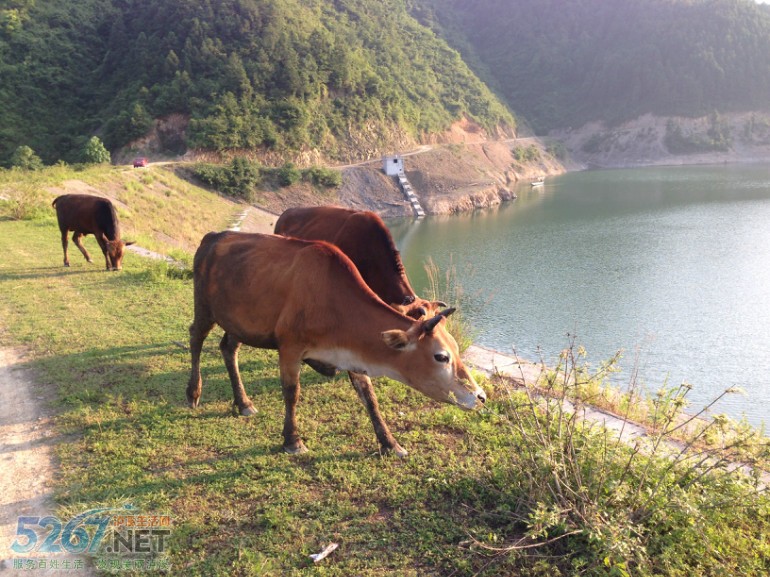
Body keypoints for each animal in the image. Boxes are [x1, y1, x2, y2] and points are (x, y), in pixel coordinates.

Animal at [186, 231, 484, 454]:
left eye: (457, 350)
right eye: (441, 356)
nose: (480, 396)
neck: (331, 302)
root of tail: (214, 236)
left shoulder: (352, 353)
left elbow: (369, 397)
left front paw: (390, 443)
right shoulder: (290, 347)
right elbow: (292, 393)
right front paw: (292, 440)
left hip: (239, 322)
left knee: (228, 348)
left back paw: (243, 402)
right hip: (204, 306)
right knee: (195, 338)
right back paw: (193, 393)